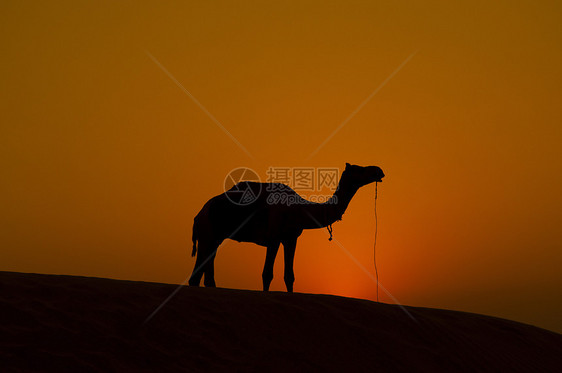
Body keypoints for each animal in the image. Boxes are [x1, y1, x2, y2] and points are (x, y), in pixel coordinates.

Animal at [187, 162, 380, 290]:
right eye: (359, 169)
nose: (378, 170)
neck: (300, 209)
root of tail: (198, 216)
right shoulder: (273, 237)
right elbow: (267, 274)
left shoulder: (290, 239)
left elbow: (289, 276)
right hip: (208, 235)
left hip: (212, 238)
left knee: (202, 275)